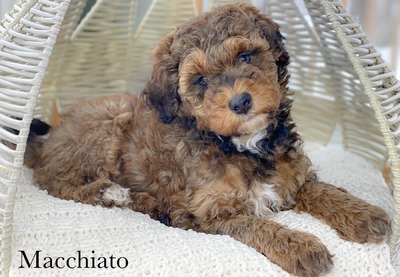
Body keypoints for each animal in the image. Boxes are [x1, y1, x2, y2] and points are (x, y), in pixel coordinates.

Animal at [27, 2, 390, 276]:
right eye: (200, 80)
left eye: (245, 56)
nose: (240, 102)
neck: (243, 144)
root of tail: (50, 140)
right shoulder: (209, 214)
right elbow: (255, 225)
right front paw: (301, 247)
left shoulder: (292, 176)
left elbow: (322, 189)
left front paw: (364, 214)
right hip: (108, 121)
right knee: (57, 183)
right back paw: (113, 194)